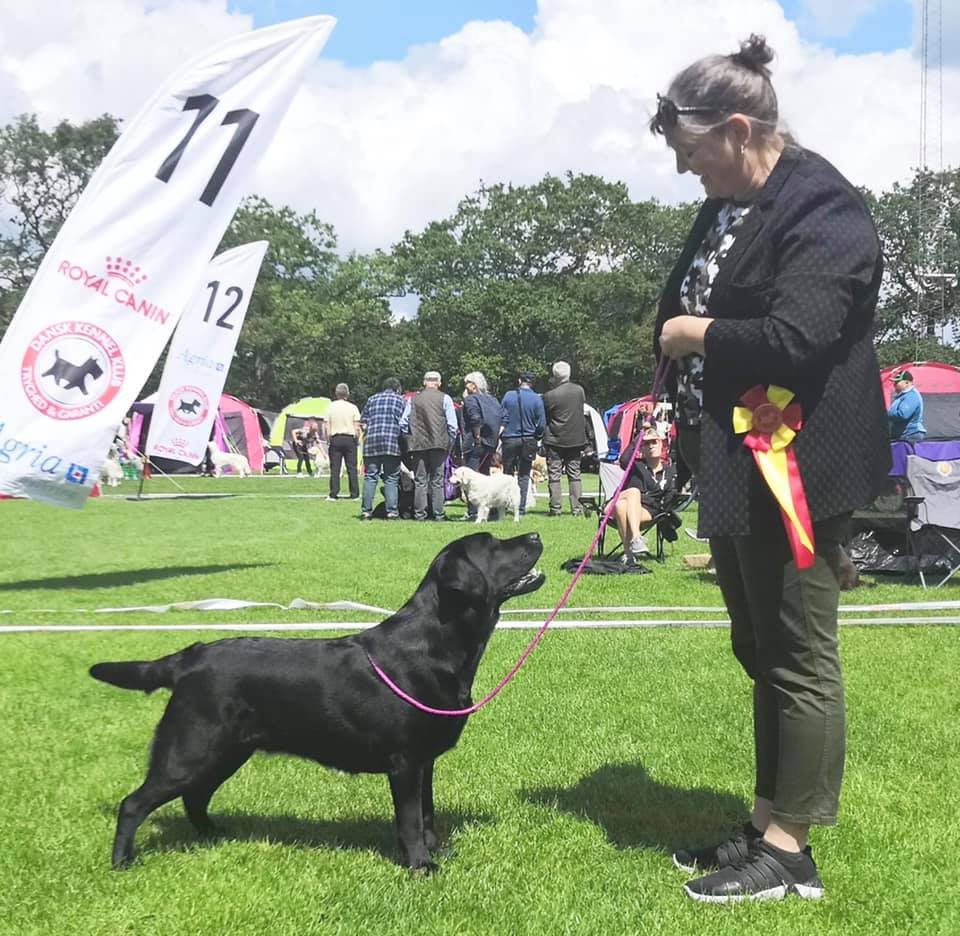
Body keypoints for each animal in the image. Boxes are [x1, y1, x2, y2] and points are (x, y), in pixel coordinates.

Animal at [89, 532, 545, 871]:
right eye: (493, 544)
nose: (536, 535)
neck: (437, 641)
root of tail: (189, 658)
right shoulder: (405, 762)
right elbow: (411, 818)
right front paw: (420, 864)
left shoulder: (425, 760)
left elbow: (428, 812)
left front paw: (438, 850)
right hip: (190, 750)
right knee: (135, 803)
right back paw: (123, 861)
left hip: (225, 751)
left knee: (195, 797)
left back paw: (214, 835)